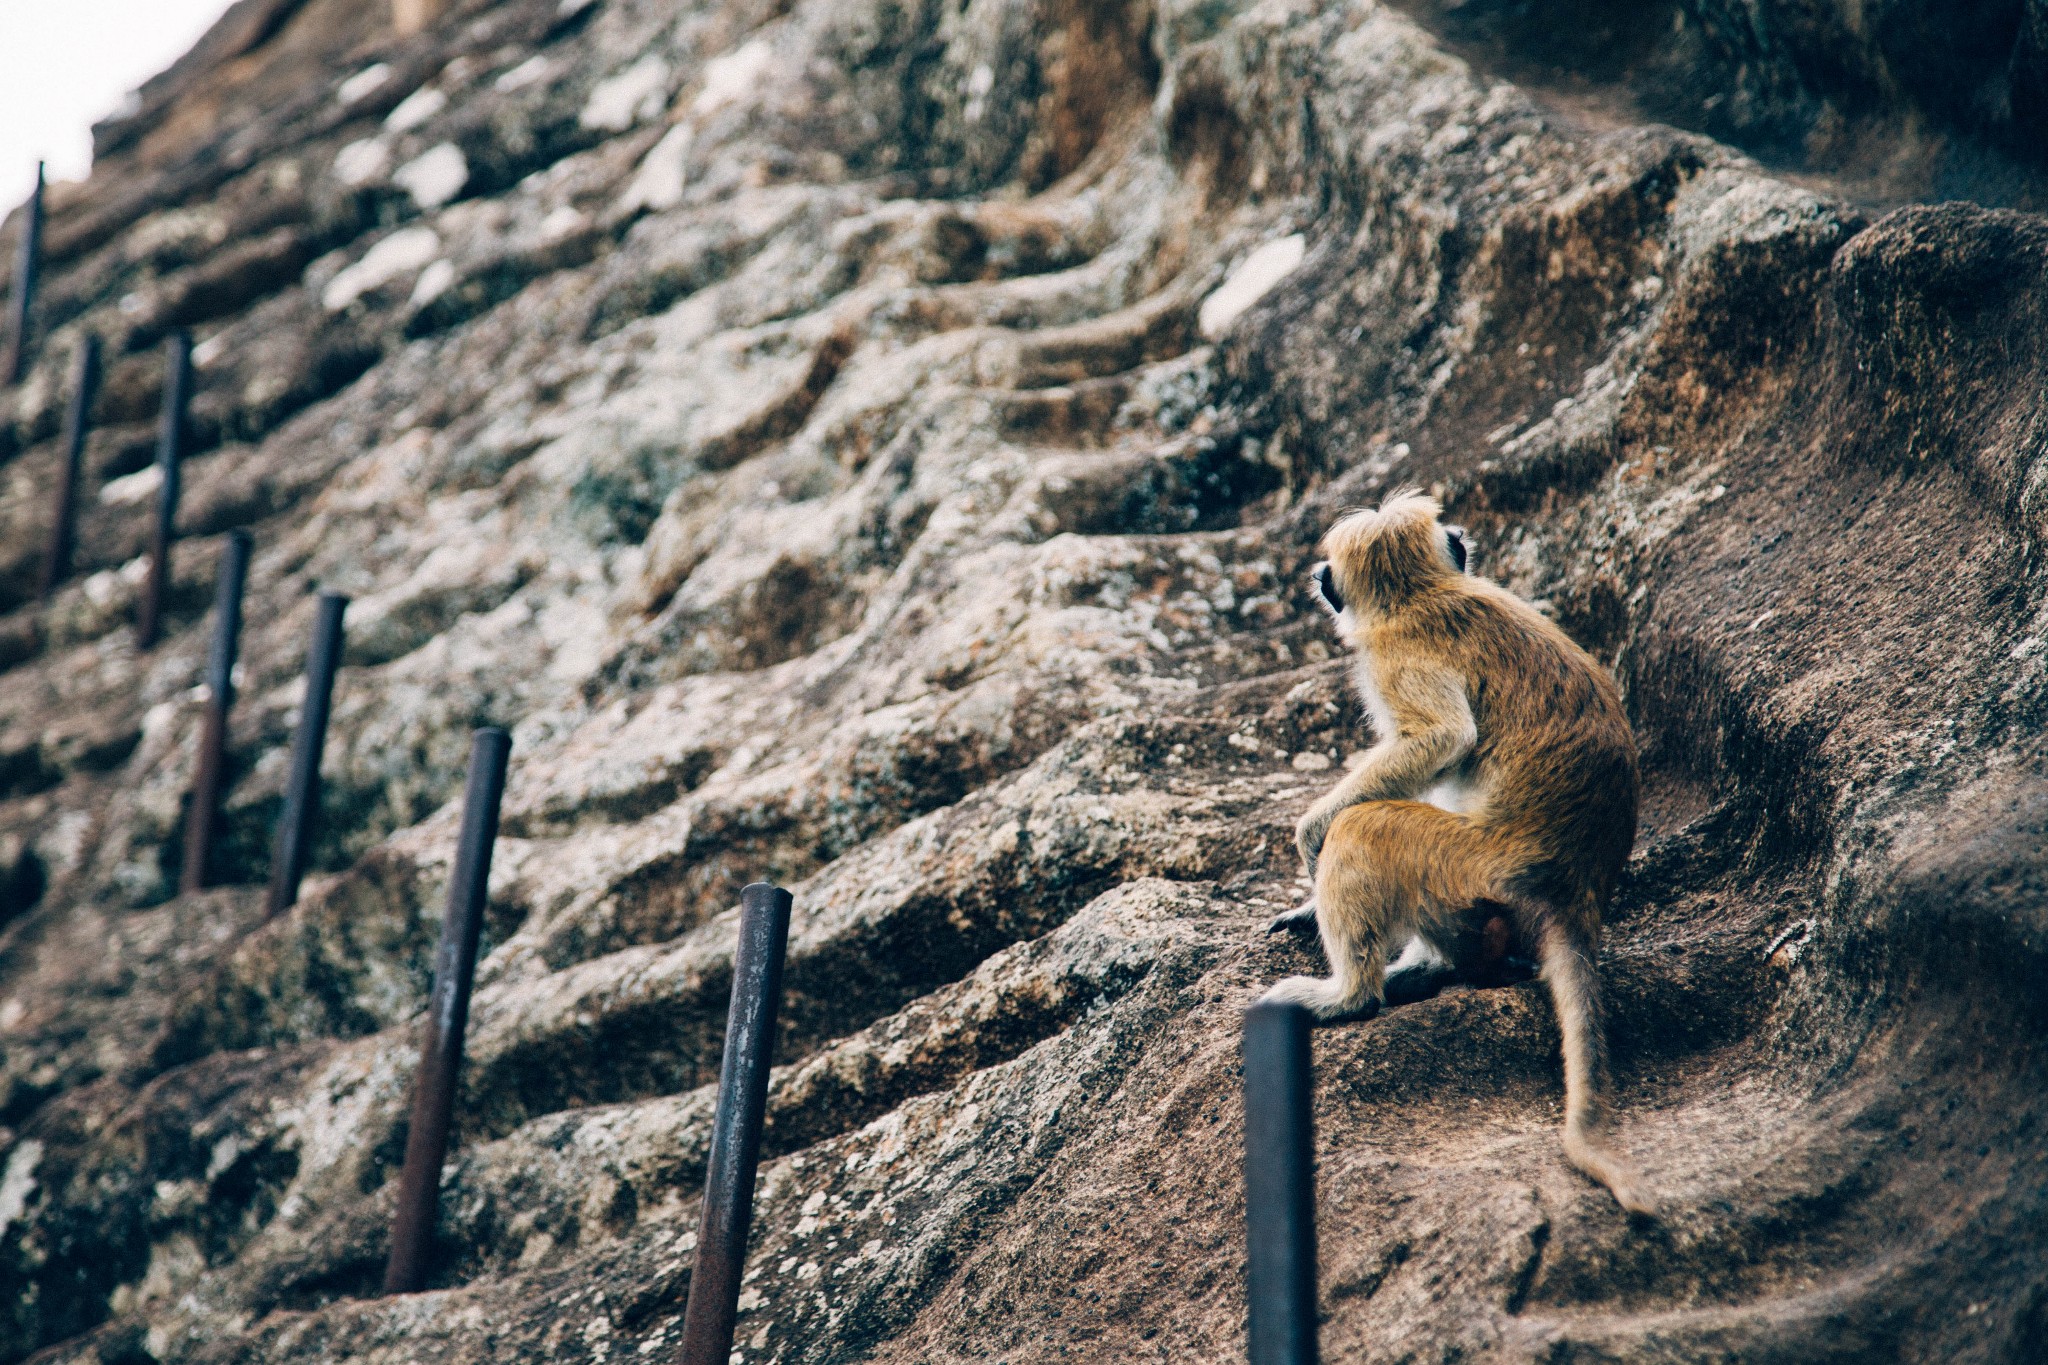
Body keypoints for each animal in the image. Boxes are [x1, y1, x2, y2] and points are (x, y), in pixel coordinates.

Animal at [1261, 491, 1646, 1219]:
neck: (1423, 591)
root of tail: (1570, 891)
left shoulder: (1395, 652)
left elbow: (1440, 739)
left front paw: (1309, 838)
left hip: (1467, 862)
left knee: (1366, 829)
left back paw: (1350, 995)